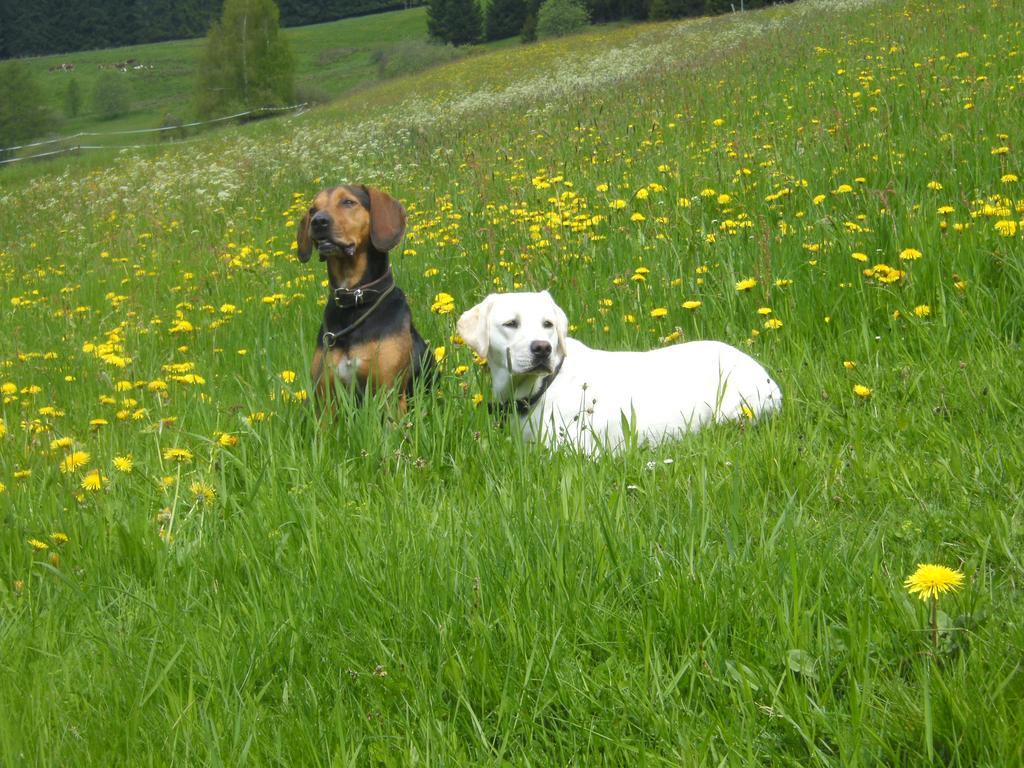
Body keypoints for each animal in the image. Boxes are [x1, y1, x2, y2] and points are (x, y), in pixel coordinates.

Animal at [299, 185, 436, 415]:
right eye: (312, 209)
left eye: (348, 202)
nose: (318, 221)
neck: (355, 302)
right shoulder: (327, 397)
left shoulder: (389, 392)